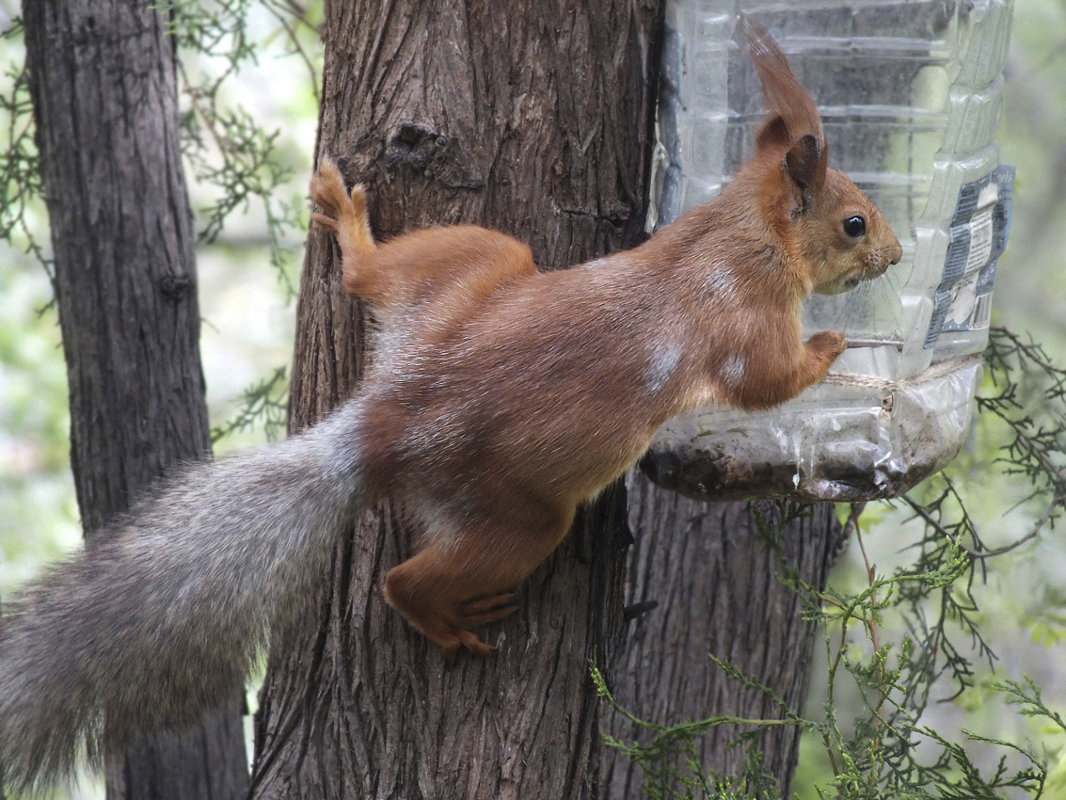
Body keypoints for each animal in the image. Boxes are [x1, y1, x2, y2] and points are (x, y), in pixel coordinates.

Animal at [309, 18, 899, 661]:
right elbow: (766, 382)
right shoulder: (748, 316)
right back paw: (445, 620)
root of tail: (400, 417)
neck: (739, 233)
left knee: (364, 277)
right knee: (406, 582)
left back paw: (347, 225)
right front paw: (832, 343)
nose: (897, 255)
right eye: (854, 224)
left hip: (472, 265)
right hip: (515, 515)